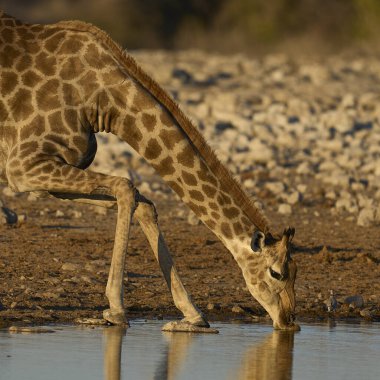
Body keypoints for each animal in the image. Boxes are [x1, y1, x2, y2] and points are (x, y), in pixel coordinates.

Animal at [0, 10, 300, 332]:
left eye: (296, 271)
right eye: (276, 273)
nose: (289, 321)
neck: (104, 102)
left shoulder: (50, 176)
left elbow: (143, 203)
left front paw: (192, 315)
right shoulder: (23, 165)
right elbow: (126, 187)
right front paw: (116, 309)